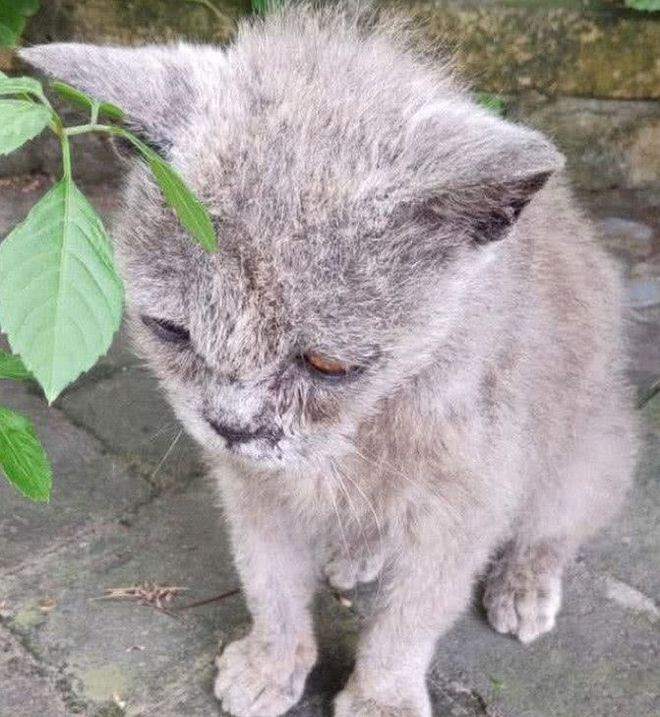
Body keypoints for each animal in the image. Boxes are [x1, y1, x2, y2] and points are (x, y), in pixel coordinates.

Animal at [21, 7, 640, 716]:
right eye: (170, 330)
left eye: (326, 364)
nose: (231, 427)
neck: (357, 435)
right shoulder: (253, 489)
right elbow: (267, 581)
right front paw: (272, 664)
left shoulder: (465, 503)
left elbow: (411, 617)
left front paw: (382, 696)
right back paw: (356, 551)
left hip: (590, 445)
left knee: (559, 521)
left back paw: (523, 583)